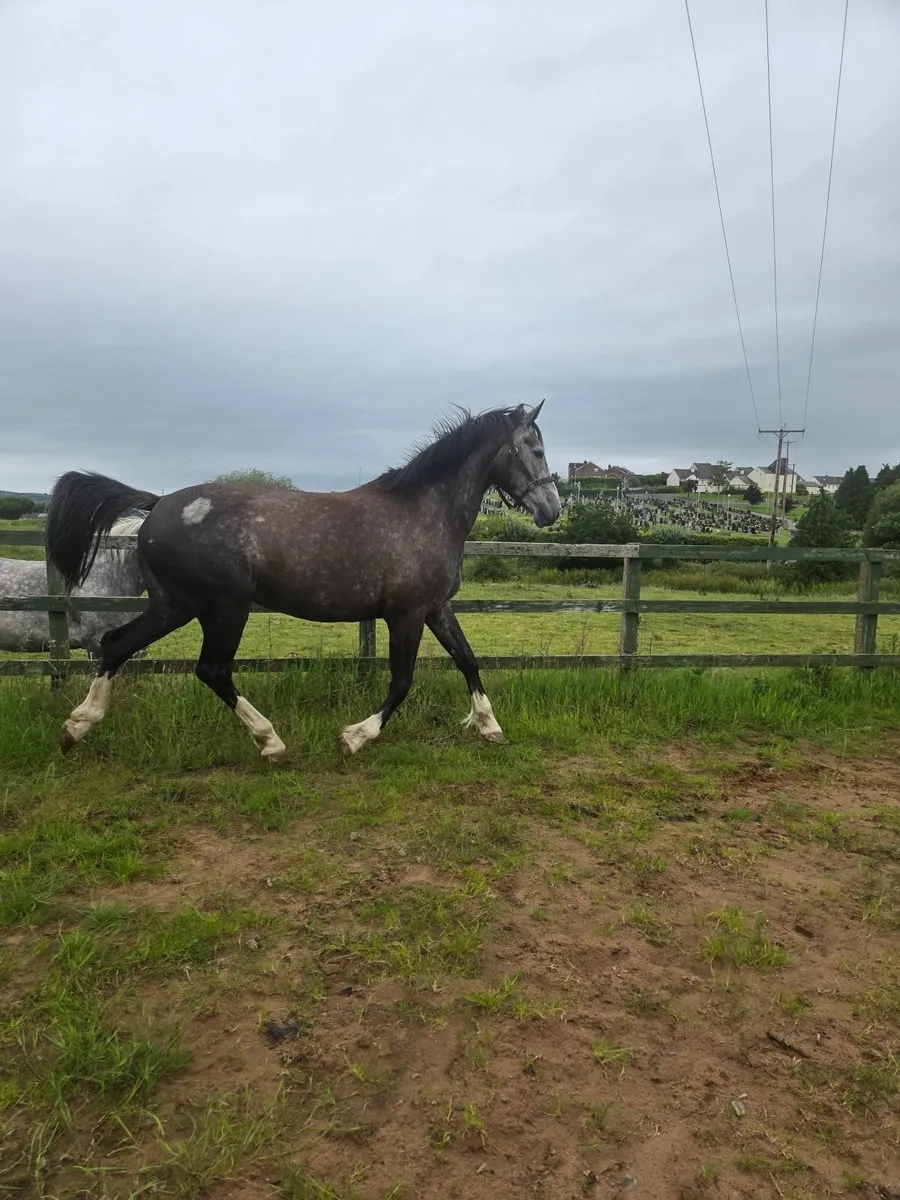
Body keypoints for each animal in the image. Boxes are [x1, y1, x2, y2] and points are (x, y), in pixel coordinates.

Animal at [45, 402, 560, 761]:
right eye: (535, 449)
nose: (552, 510)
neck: (423, 512)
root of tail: (157, 504)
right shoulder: (406, 614)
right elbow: (401, 681)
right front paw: (354, 738)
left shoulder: (436, 607)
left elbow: (469, 661)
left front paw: (490, 727)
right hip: (223, 608)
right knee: (211, 669)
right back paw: (270, 741)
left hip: (175, 605)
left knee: (116, 644)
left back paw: (76, 728)